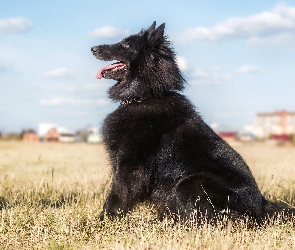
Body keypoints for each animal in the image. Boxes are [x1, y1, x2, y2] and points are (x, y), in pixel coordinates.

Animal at [91, 21, 294, 225]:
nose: (93, 48)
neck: (145, 97)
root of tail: (261, 206)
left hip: (190, 182)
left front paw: (102, 222)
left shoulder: (130, 167)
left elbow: (116, 198)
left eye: (125, 44)